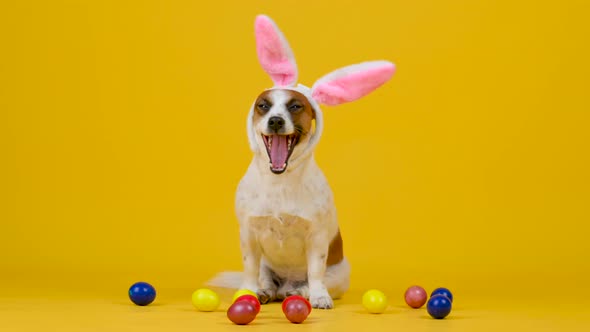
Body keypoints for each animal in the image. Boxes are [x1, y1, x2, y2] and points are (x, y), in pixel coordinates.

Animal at [208, 13, 398, 308]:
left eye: (295, 106)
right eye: (263, 105)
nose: (276, 120)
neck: (280, 181)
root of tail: (287, 283)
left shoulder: (317, 237)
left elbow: (316, 270)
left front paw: (318, 295)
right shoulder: (249, 234)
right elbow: (249, 268)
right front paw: (248, 292)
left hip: (341, 272)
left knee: (310, 282)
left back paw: (301, 292)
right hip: (267, 265)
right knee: (266, 280)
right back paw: (266, 292)